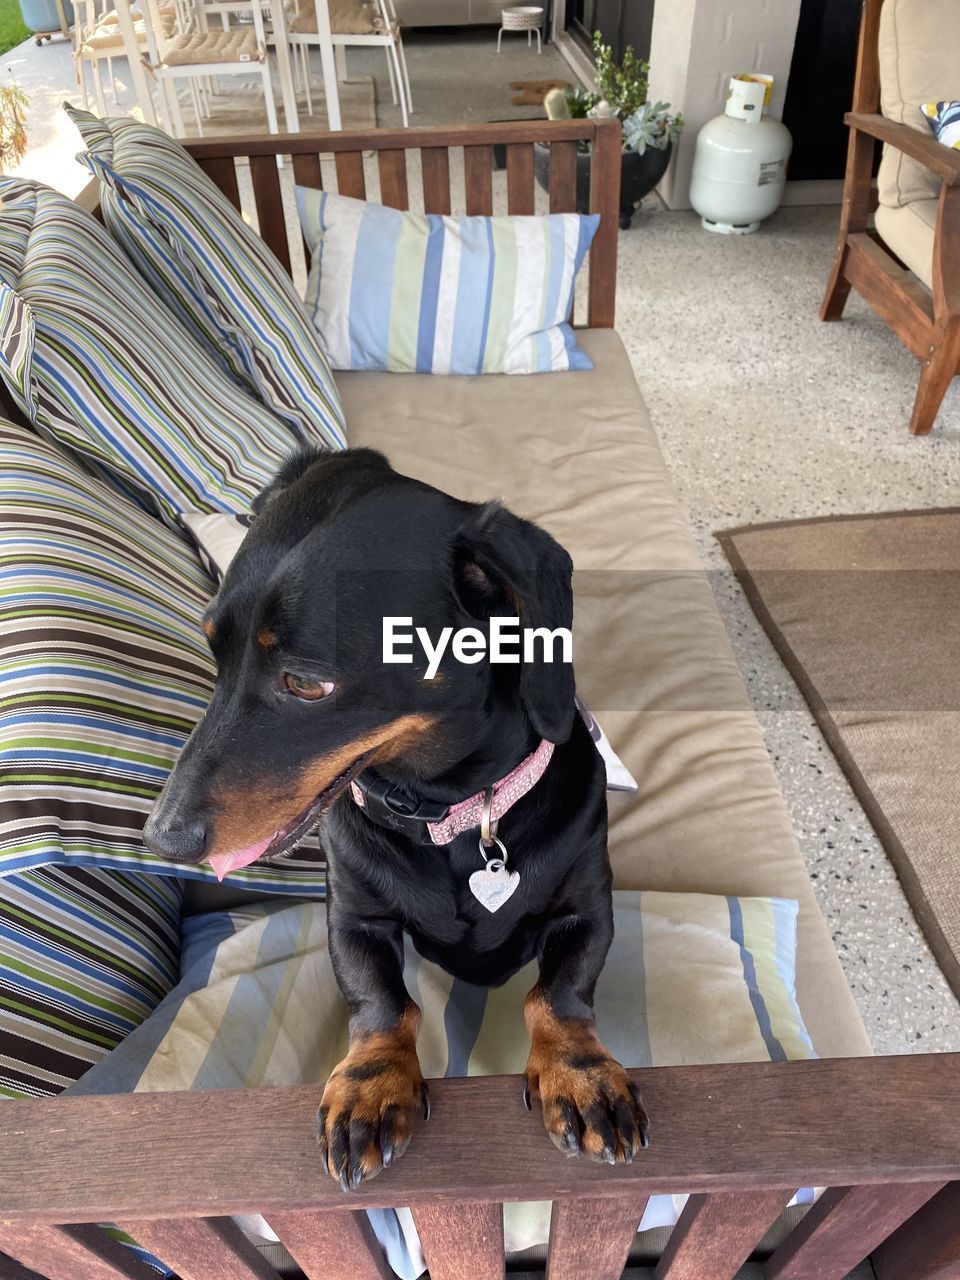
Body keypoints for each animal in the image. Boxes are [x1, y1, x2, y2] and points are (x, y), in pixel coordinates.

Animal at [144, 448, 655, 1187]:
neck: (455, 815)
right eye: (214, 650)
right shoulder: (355, 917)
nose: (162, 837)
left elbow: (559, 994)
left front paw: (582, 1075)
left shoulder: (586, 908)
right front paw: (371, 1086)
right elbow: (382, 1001)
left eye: (306, 682)